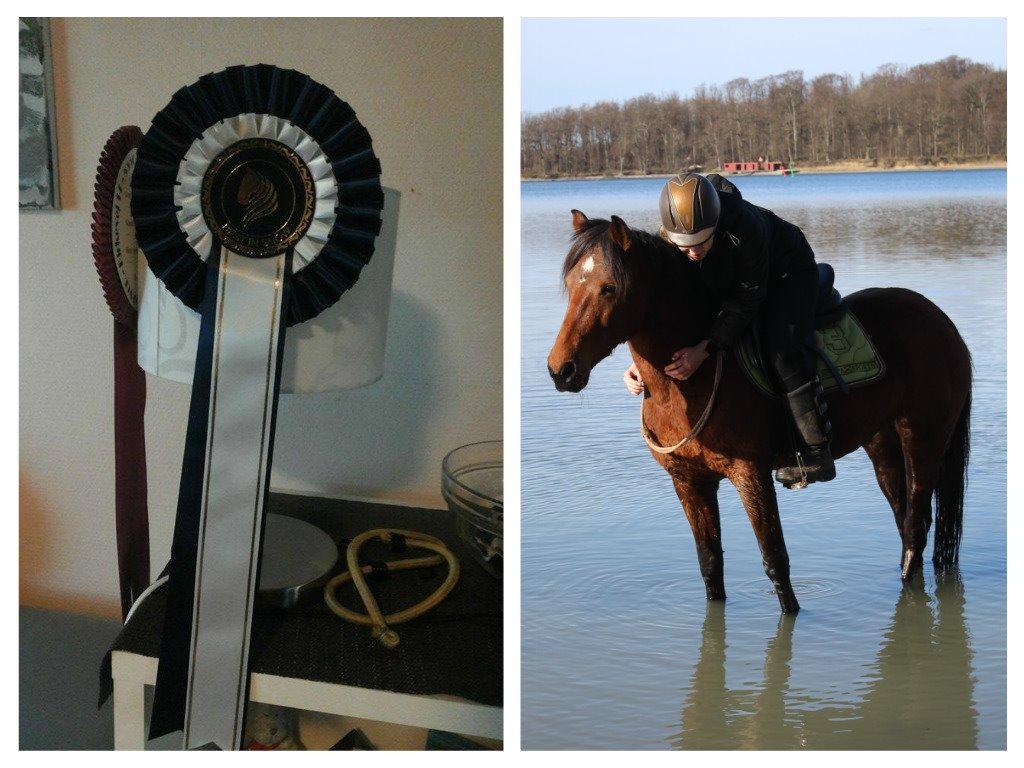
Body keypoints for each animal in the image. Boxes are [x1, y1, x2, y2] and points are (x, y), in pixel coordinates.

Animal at [546, 210, 971, 614]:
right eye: (570, 284)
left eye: (609, 287)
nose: (560, 370)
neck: (692, 380)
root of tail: (943, 322)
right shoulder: (689, 482)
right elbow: (710, 563)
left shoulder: (750, 474)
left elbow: (775, 561)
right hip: (882, 444)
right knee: (905, 521)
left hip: (923, 438)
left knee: (916, 524)